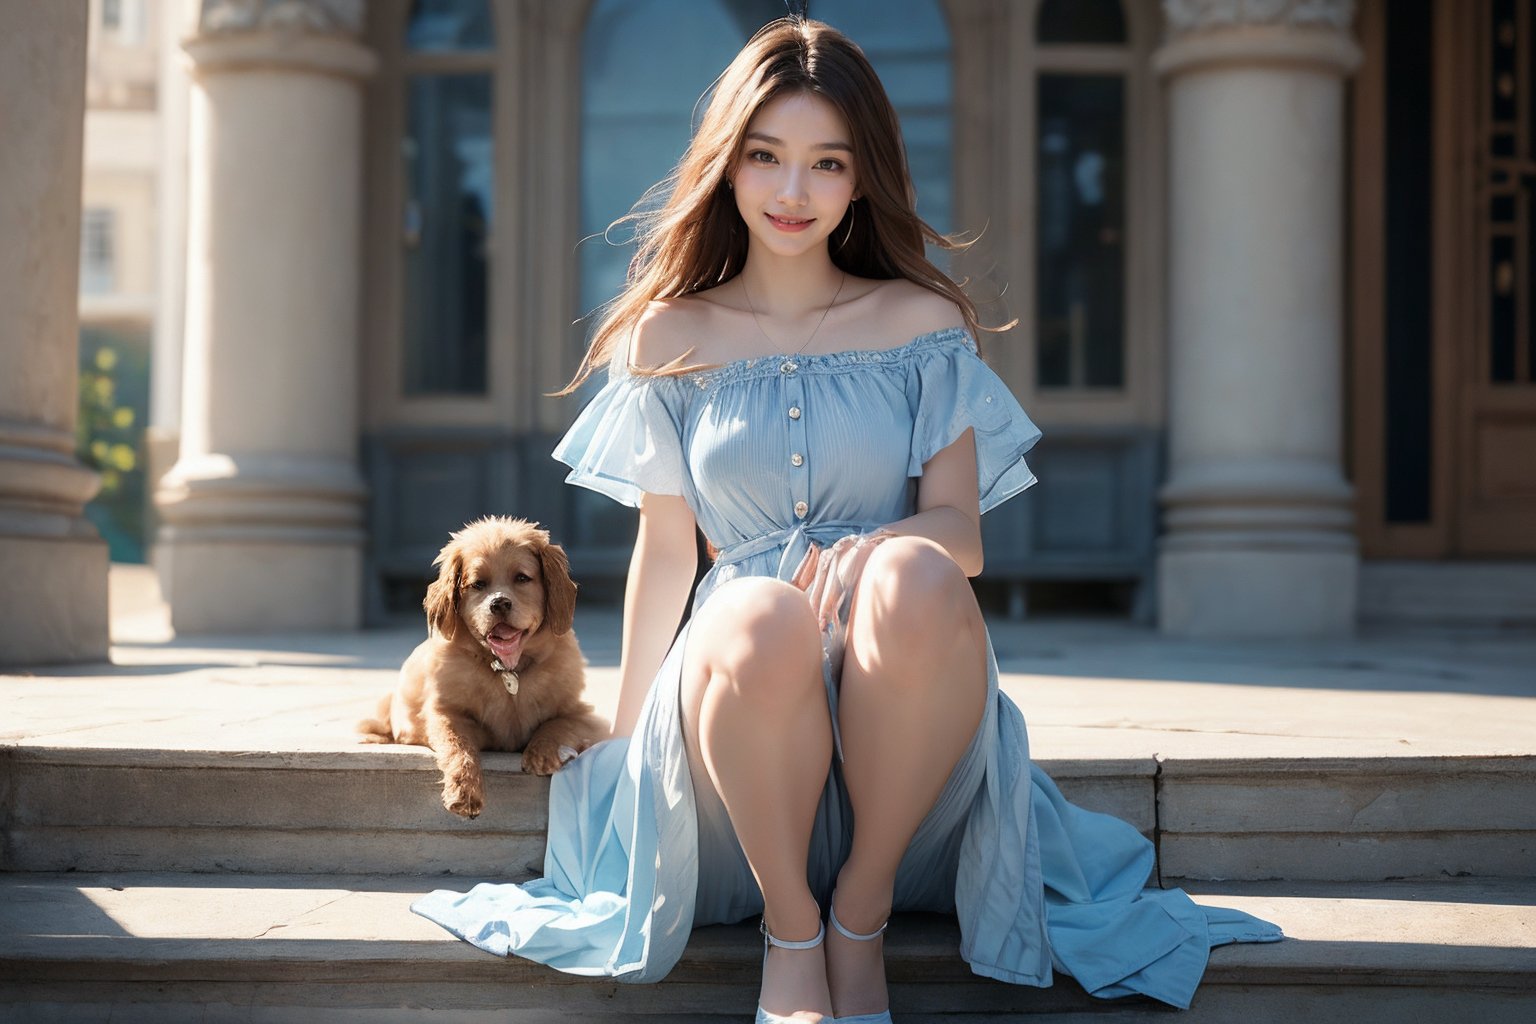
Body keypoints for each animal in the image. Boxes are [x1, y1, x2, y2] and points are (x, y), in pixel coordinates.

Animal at [356, 515, 608, 822]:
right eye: (477, 584)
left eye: (522, 578)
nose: (499, 603)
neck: (508, 670)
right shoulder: (445, 714)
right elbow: (459, 746)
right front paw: (464, 790)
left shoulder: (588, 715)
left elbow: (559, 722)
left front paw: (544, 751)